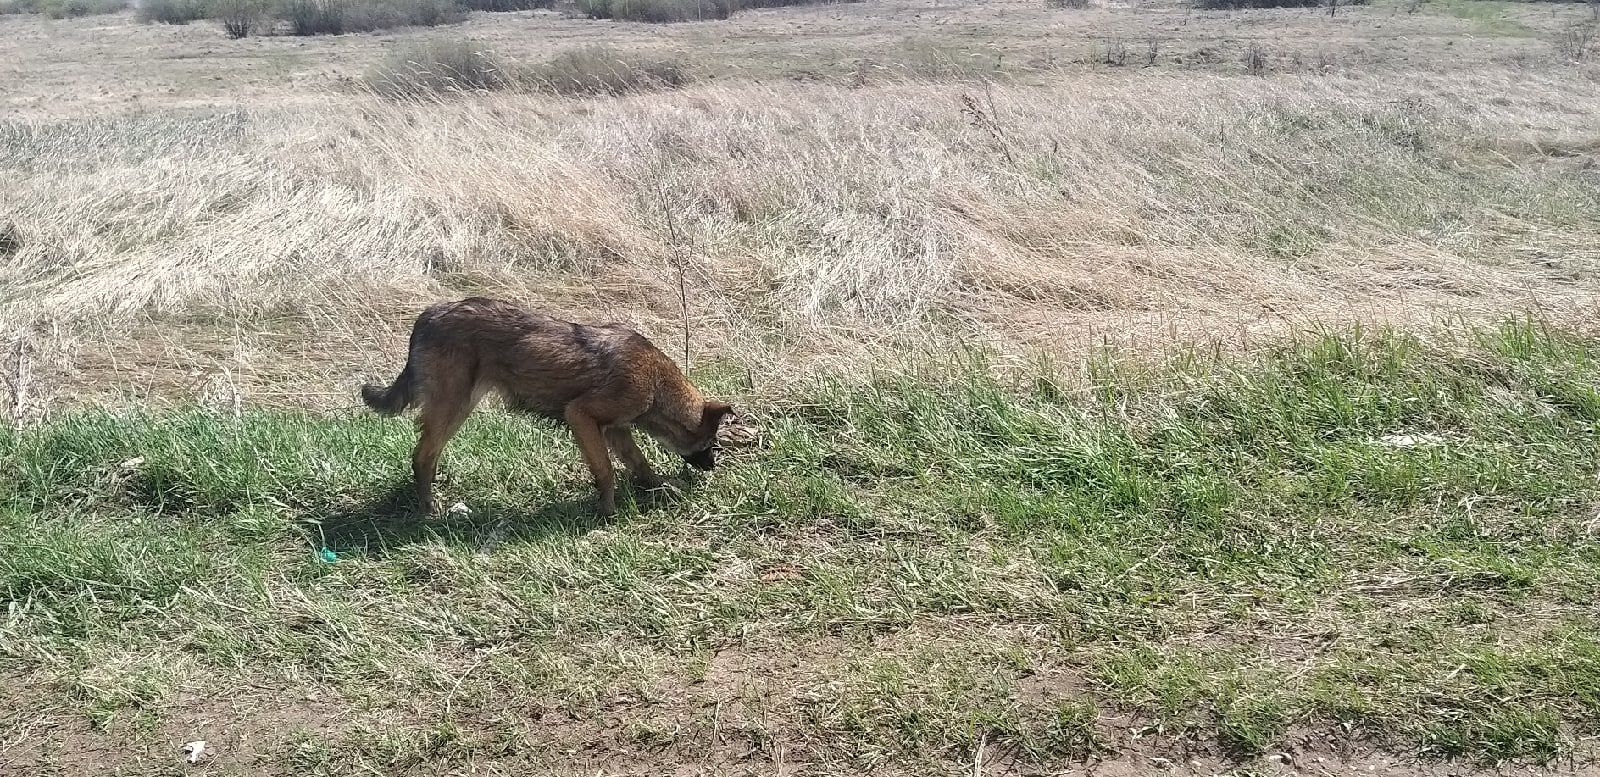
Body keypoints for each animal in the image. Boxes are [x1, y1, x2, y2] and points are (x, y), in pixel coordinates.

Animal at [361, 297, 732, 514]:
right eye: (711, 444)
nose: (713, 468)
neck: (656, 384)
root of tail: (428, 316)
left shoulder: (616, 430)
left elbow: (639, 462)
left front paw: (658, 487)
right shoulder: (581, 416)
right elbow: (606, 470)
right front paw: (608, 511)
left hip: (457, 406)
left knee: (427, 454)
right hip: (453, 405)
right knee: (421, 456)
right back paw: (429, 509)